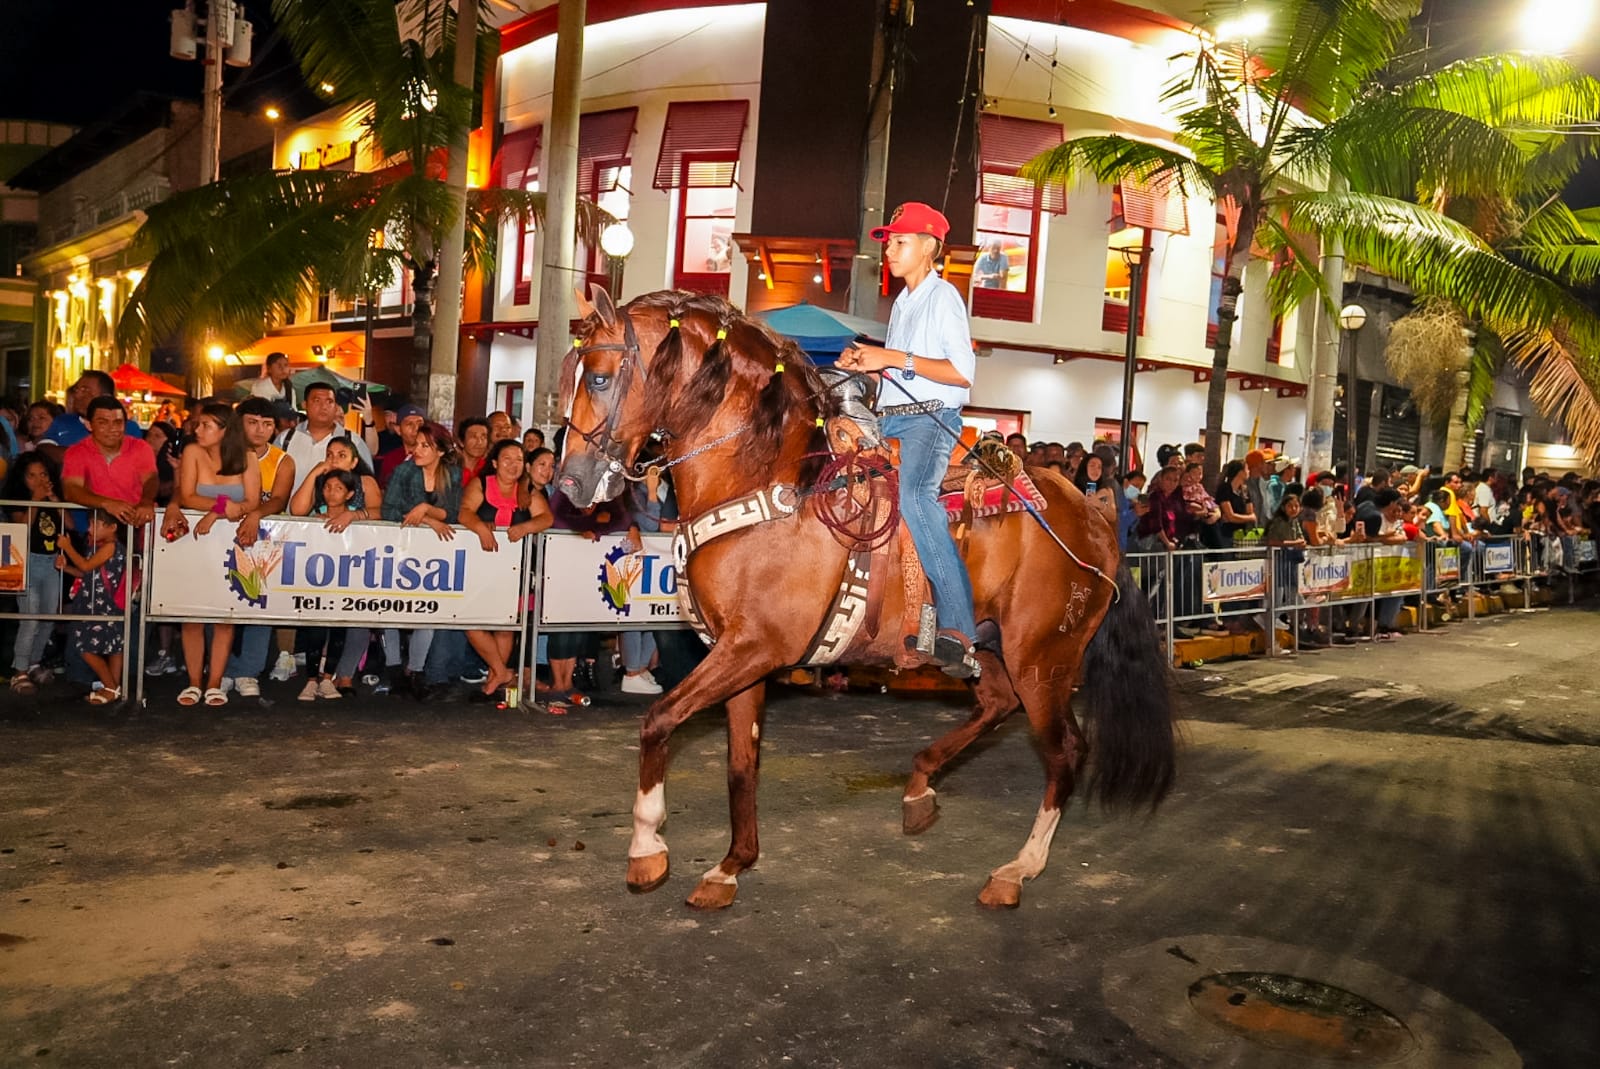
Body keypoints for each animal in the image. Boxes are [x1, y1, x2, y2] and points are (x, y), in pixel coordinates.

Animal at [560, 289, 1177, 908]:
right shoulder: (740, 658)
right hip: (990, 647)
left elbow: (659, 720)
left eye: (599, 378)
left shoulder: (753, 649)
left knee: (1066, 750)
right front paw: (730, 867)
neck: (768, 482)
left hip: (1042, 661)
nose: (571, 484)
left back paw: (1016, 869)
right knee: (998, 706)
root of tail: (1094, 518)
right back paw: (920, 788)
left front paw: (647, 849)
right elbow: (741, 763)